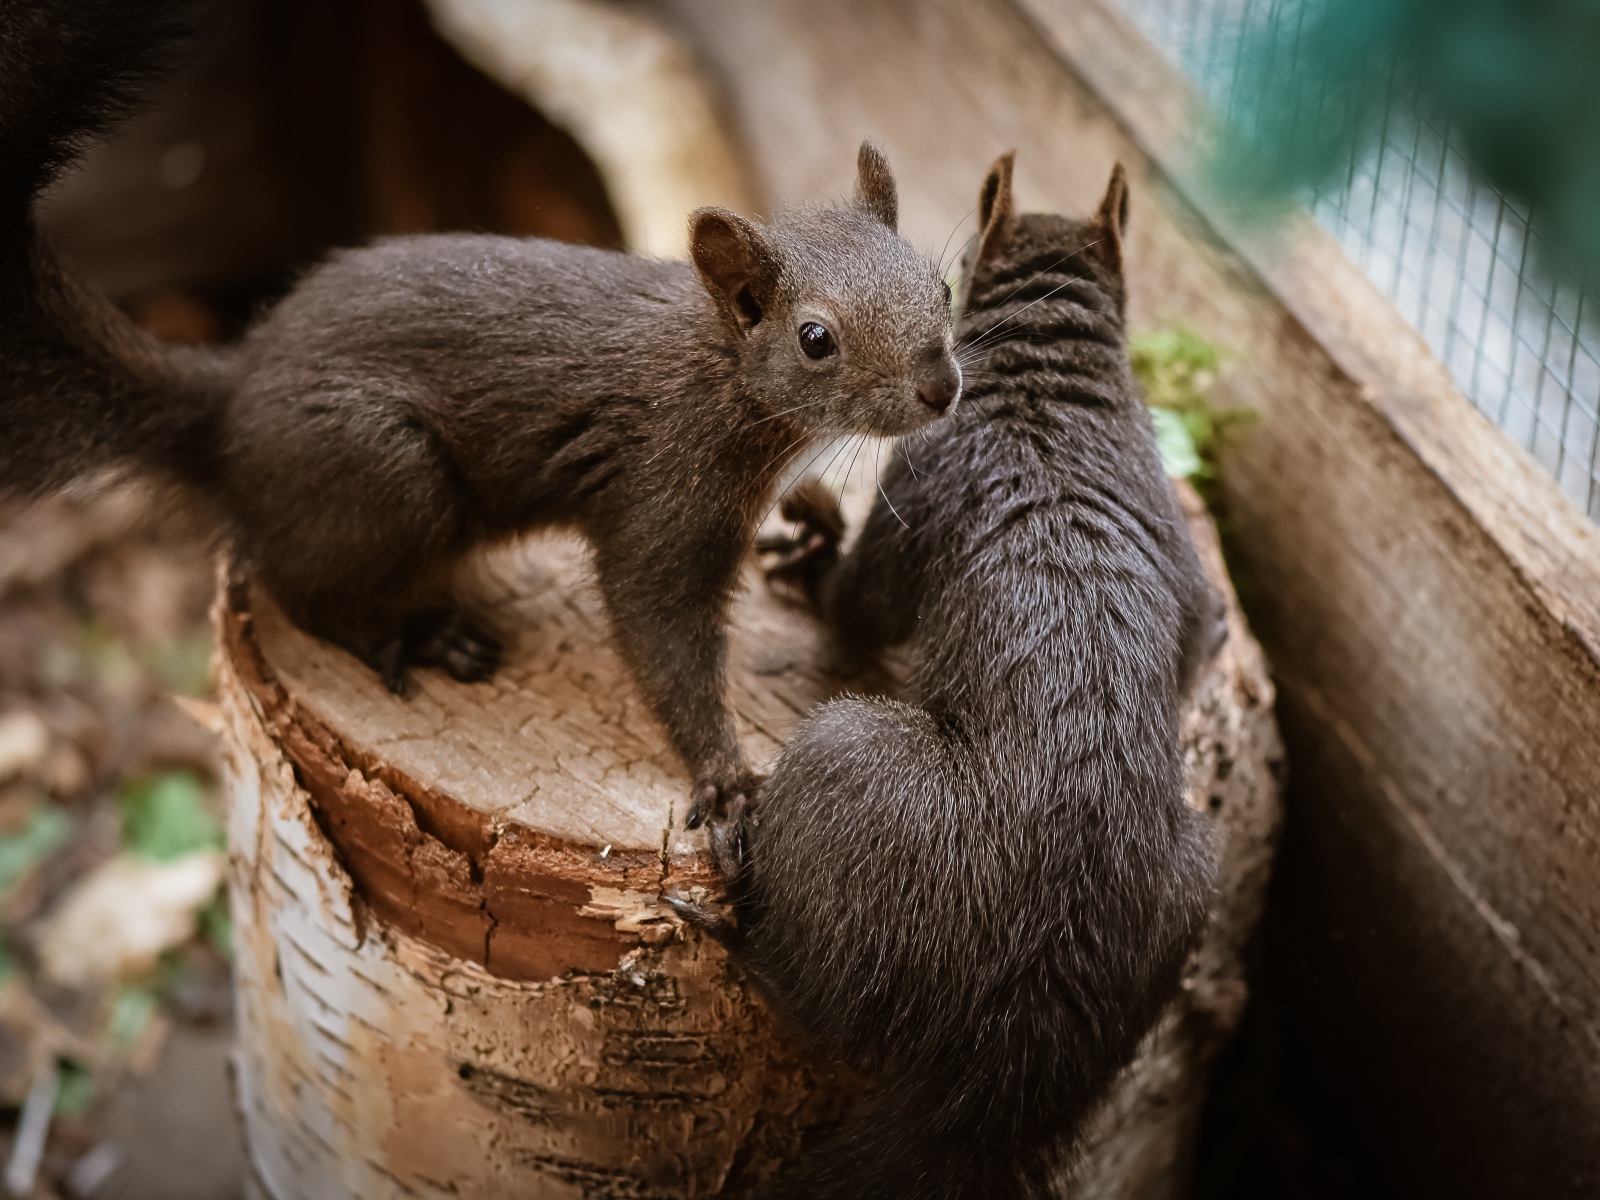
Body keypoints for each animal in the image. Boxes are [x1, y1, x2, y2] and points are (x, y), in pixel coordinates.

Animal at [0, 0, 960, 819]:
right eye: (815, 339)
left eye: (941, 283)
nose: (941, 386)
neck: (724, 372)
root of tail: (227, 402)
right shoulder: (661, 487)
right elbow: (661, 632)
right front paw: (724, 778)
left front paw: (817, 514)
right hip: (388, 473)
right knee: (295, 585)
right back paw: (417, 637)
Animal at [675, 155, 1222, 1196]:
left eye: (948, 283)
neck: (1057, 386)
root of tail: (1022, 1025)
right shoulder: (1179, 545)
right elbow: (1202, 639)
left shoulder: (925, 480)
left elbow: (860, 606)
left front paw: (816, 558)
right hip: (1190, 889)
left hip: (849, 769)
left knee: (816, 1007)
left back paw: (738, 917)